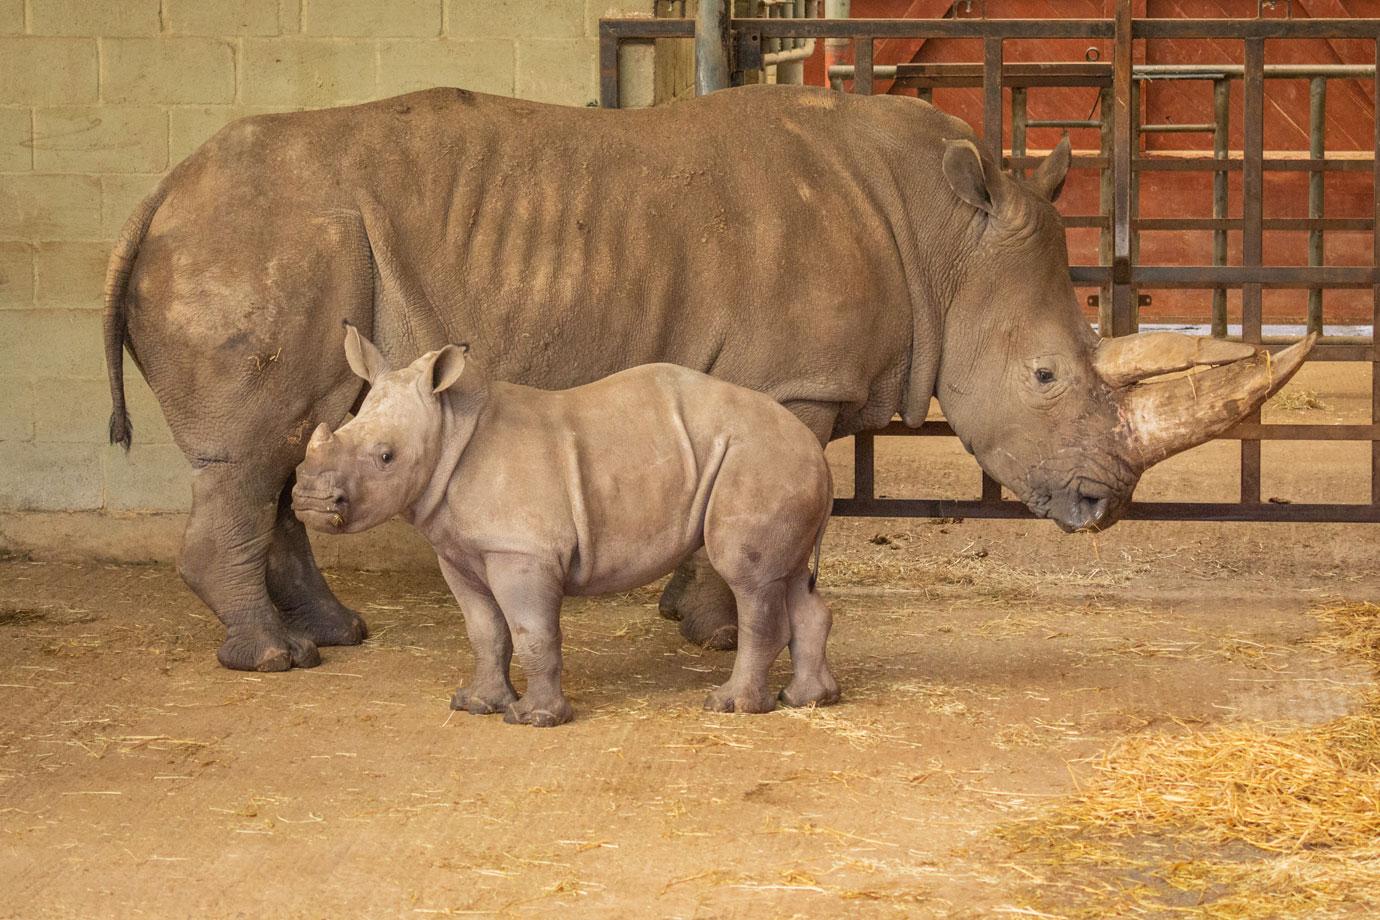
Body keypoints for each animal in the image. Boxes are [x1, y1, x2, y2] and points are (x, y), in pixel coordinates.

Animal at [295, 329, 833, 728]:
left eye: (386, 457)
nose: (309, 500)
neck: (450, 428)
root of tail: (819, 453)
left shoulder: (521, 552)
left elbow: (532, 631)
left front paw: (534, 719)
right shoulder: (459, 552)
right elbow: (483, 629)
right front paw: (475, 704)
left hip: (759, 458)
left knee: (749, 578)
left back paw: (729, 706)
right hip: (776, 462)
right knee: (786, 578)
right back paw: (808, 700)